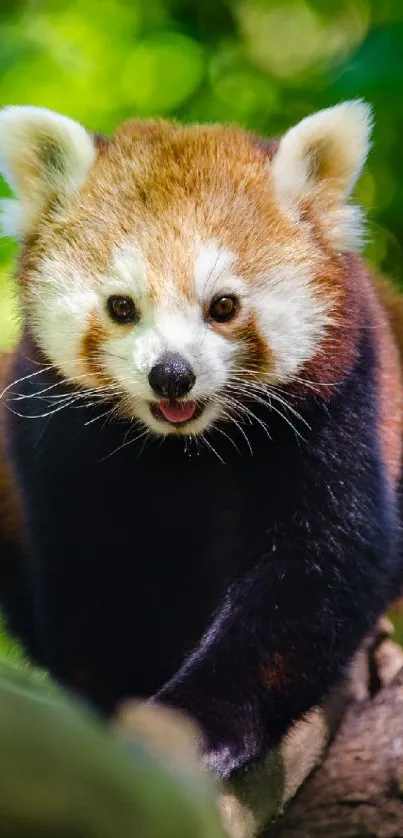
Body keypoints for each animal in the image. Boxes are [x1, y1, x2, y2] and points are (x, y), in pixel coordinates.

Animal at [0, 103, 403, 780]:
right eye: (121, 306)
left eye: (223, 306)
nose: (172, 373)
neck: (184, 450)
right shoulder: (55, 442)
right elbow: (90, 584)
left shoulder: (339, 403)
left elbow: (318, 568)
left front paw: (197, 726)